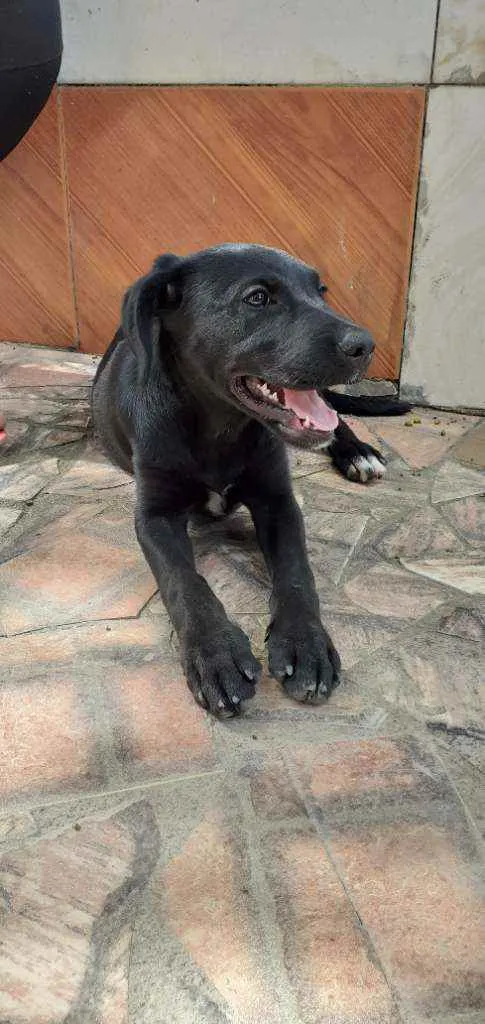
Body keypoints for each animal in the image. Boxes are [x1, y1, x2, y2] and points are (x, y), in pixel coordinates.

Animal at [92, 243, 409, 716]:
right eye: (257, 298)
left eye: (321, 291)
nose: (365, 346)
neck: (219, 425)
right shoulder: (154, 516)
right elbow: (185, 583)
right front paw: (215, 654)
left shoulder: (278, 500)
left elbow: (297, 573)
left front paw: (306, 645)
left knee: (336, 420)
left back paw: (358, 453)